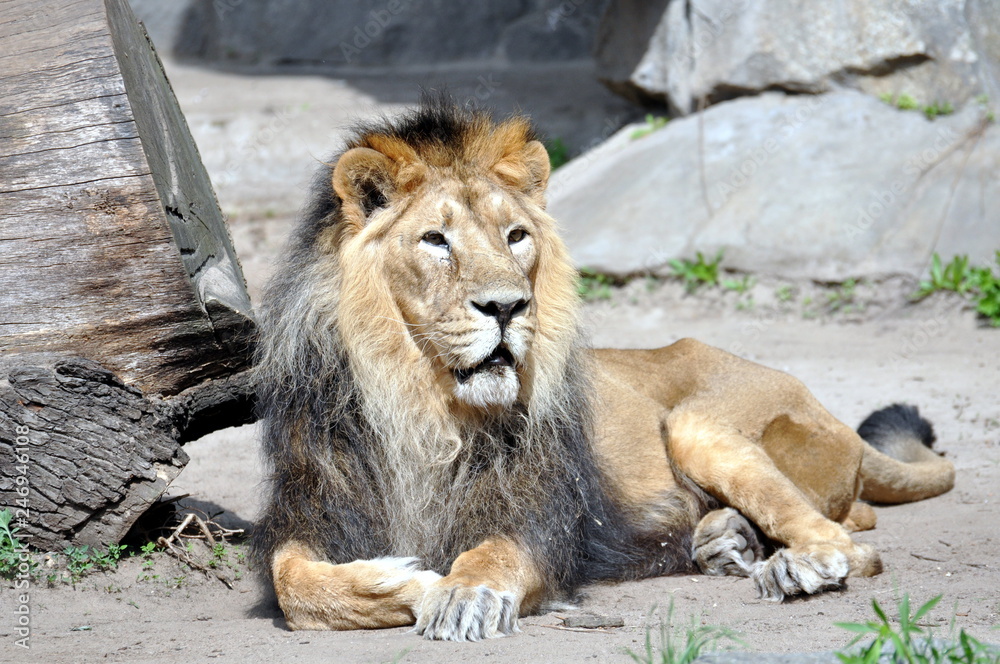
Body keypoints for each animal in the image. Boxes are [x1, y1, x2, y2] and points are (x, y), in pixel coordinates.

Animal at [252, 98, 955, 642]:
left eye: (515, 236)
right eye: (435, 240)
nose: (507, 306)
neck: (421, 406)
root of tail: (832, 415)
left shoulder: (542, 521)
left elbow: (492, 555)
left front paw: (461, 593)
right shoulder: (313, 507)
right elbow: (295, 585)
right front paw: (407, 579)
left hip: (699, 425)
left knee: (850, 541)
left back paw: (791, 567)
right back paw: (725, 540)